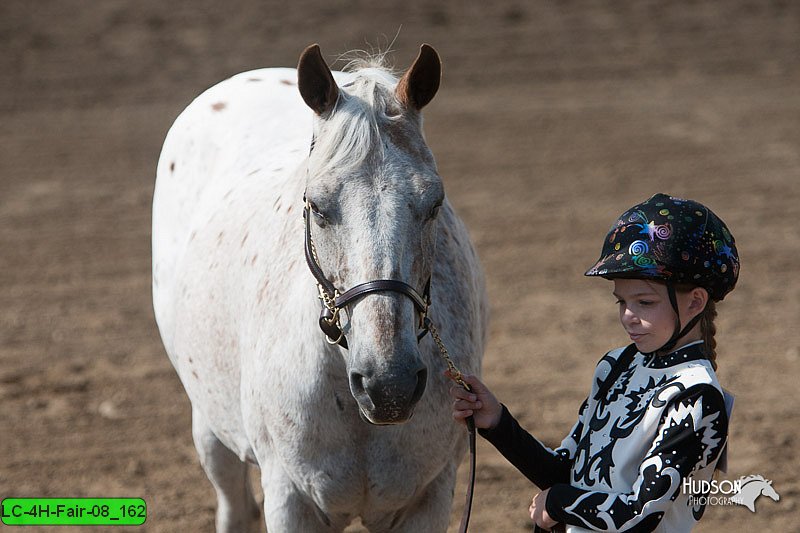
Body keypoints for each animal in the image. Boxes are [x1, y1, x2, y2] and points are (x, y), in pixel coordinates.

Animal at [151, 43, 488, 528]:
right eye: (318, 205)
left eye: (434, 203)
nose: (390, 385)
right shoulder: (292, 498)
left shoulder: (430, 496)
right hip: (211, 429)